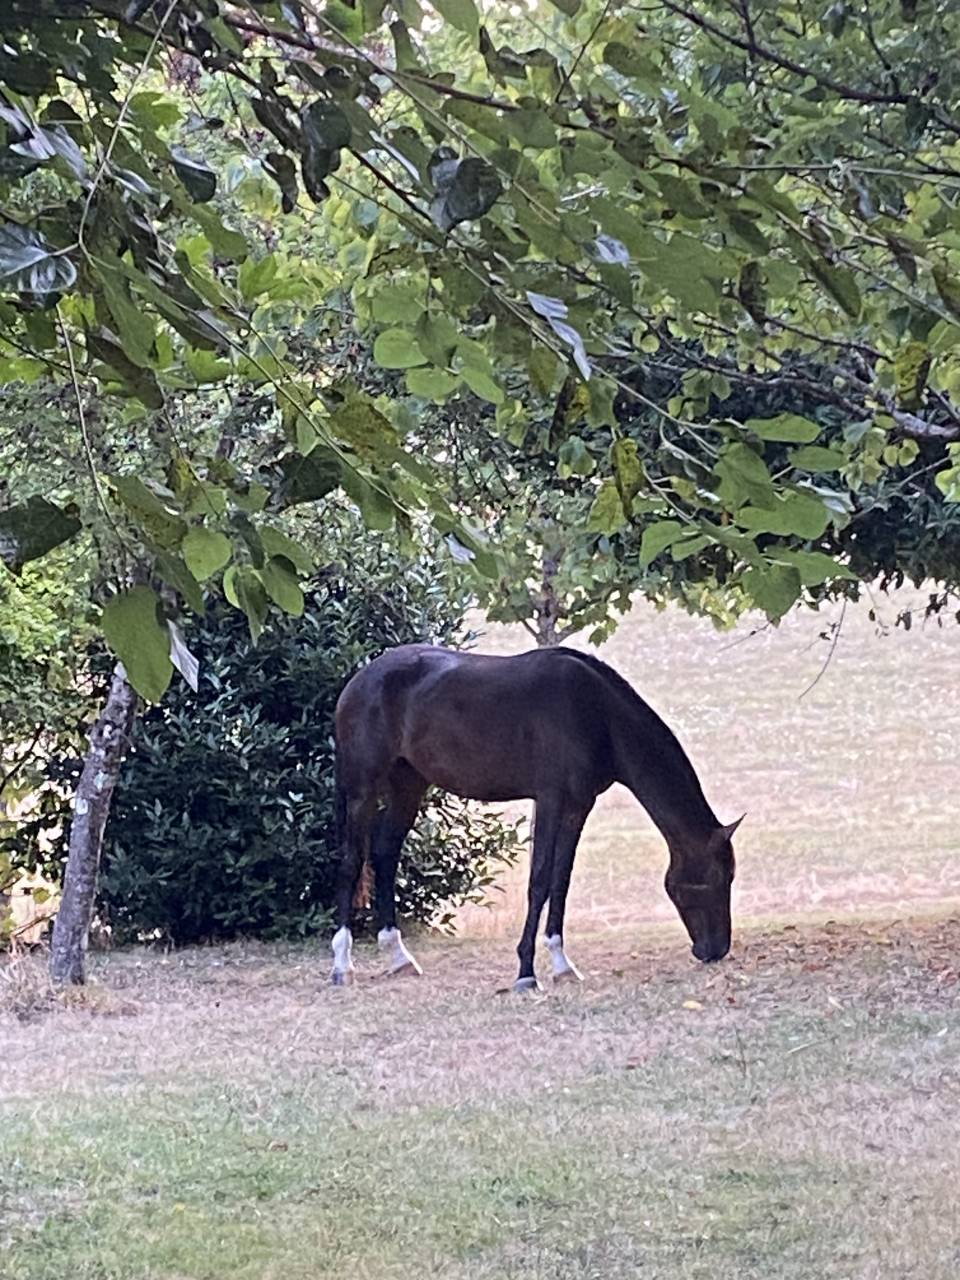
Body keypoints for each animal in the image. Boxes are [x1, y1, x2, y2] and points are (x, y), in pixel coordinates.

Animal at [330, 643, 742, 990]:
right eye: (716, 879)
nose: (715, 950)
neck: (597, 714)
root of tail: (360, 679)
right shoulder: (550, 800)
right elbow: (539, 880)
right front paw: (526, 972)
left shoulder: (578, 806)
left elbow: (561, 880)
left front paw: (561, 963)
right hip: (363, 788)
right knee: (351, 862)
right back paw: (342, 965)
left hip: (408, 785)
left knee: (385, 856)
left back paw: (398, 956)